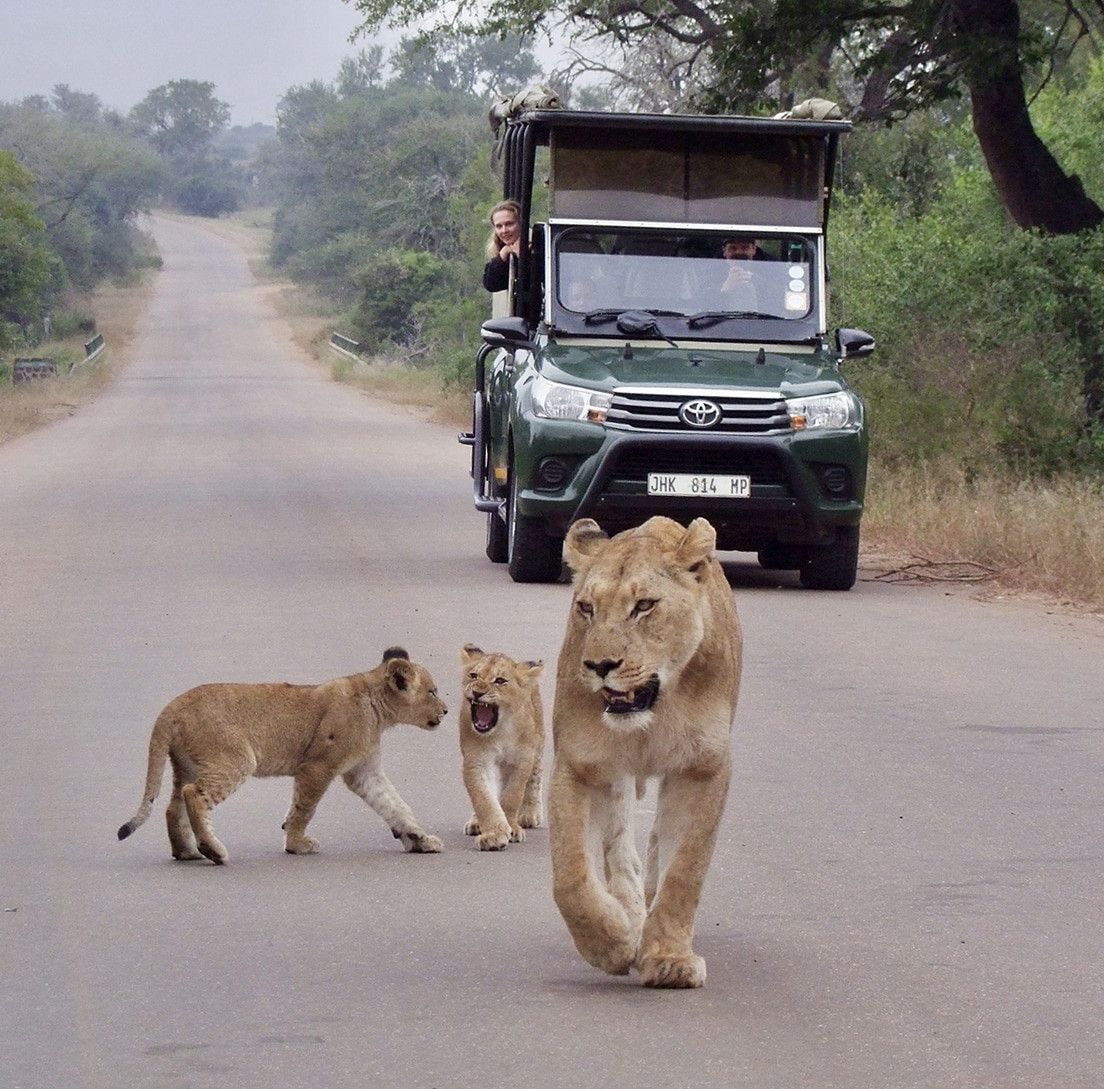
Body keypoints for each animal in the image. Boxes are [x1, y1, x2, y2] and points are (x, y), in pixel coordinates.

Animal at [117, 647, 447, 864]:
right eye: (432, 691)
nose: (445, 710)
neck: (377, 708)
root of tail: (172, 706)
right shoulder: (317, 767)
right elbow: (304, 808)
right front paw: (297, 844)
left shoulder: (365, 773)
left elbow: (395, 804)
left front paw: (419, 838)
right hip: (234, 760)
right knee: (193, 795)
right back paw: (213, 850)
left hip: (187, 765)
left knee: (174, 806)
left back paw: (187, 852)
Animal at [459, 643, 545, 851]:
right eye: (474, 675)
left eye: (500, 680)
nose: (477, 692)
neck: (500, 731)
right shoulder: (477, 761)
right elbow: (484, 798)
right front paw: (494, 834)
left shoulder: (522, 760)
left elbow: (512, 796)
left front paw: (512, 829)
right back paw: (476, 822)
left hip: (538, 744)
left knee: (535, 777)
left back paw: (530, 813)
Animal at [548, 516, 742, 988]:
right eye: (586, 608)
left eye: (644, 606)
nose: (600, 666)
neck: (655, 710)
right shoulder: (578, 765)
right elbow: (571, 876)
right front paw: (612, 944)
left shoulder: (702, 769)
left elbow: (685, 870)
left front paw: (670, 959)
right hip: (614, 778)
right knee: (619, 852)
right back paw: (630, 919)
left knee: (655, 848)